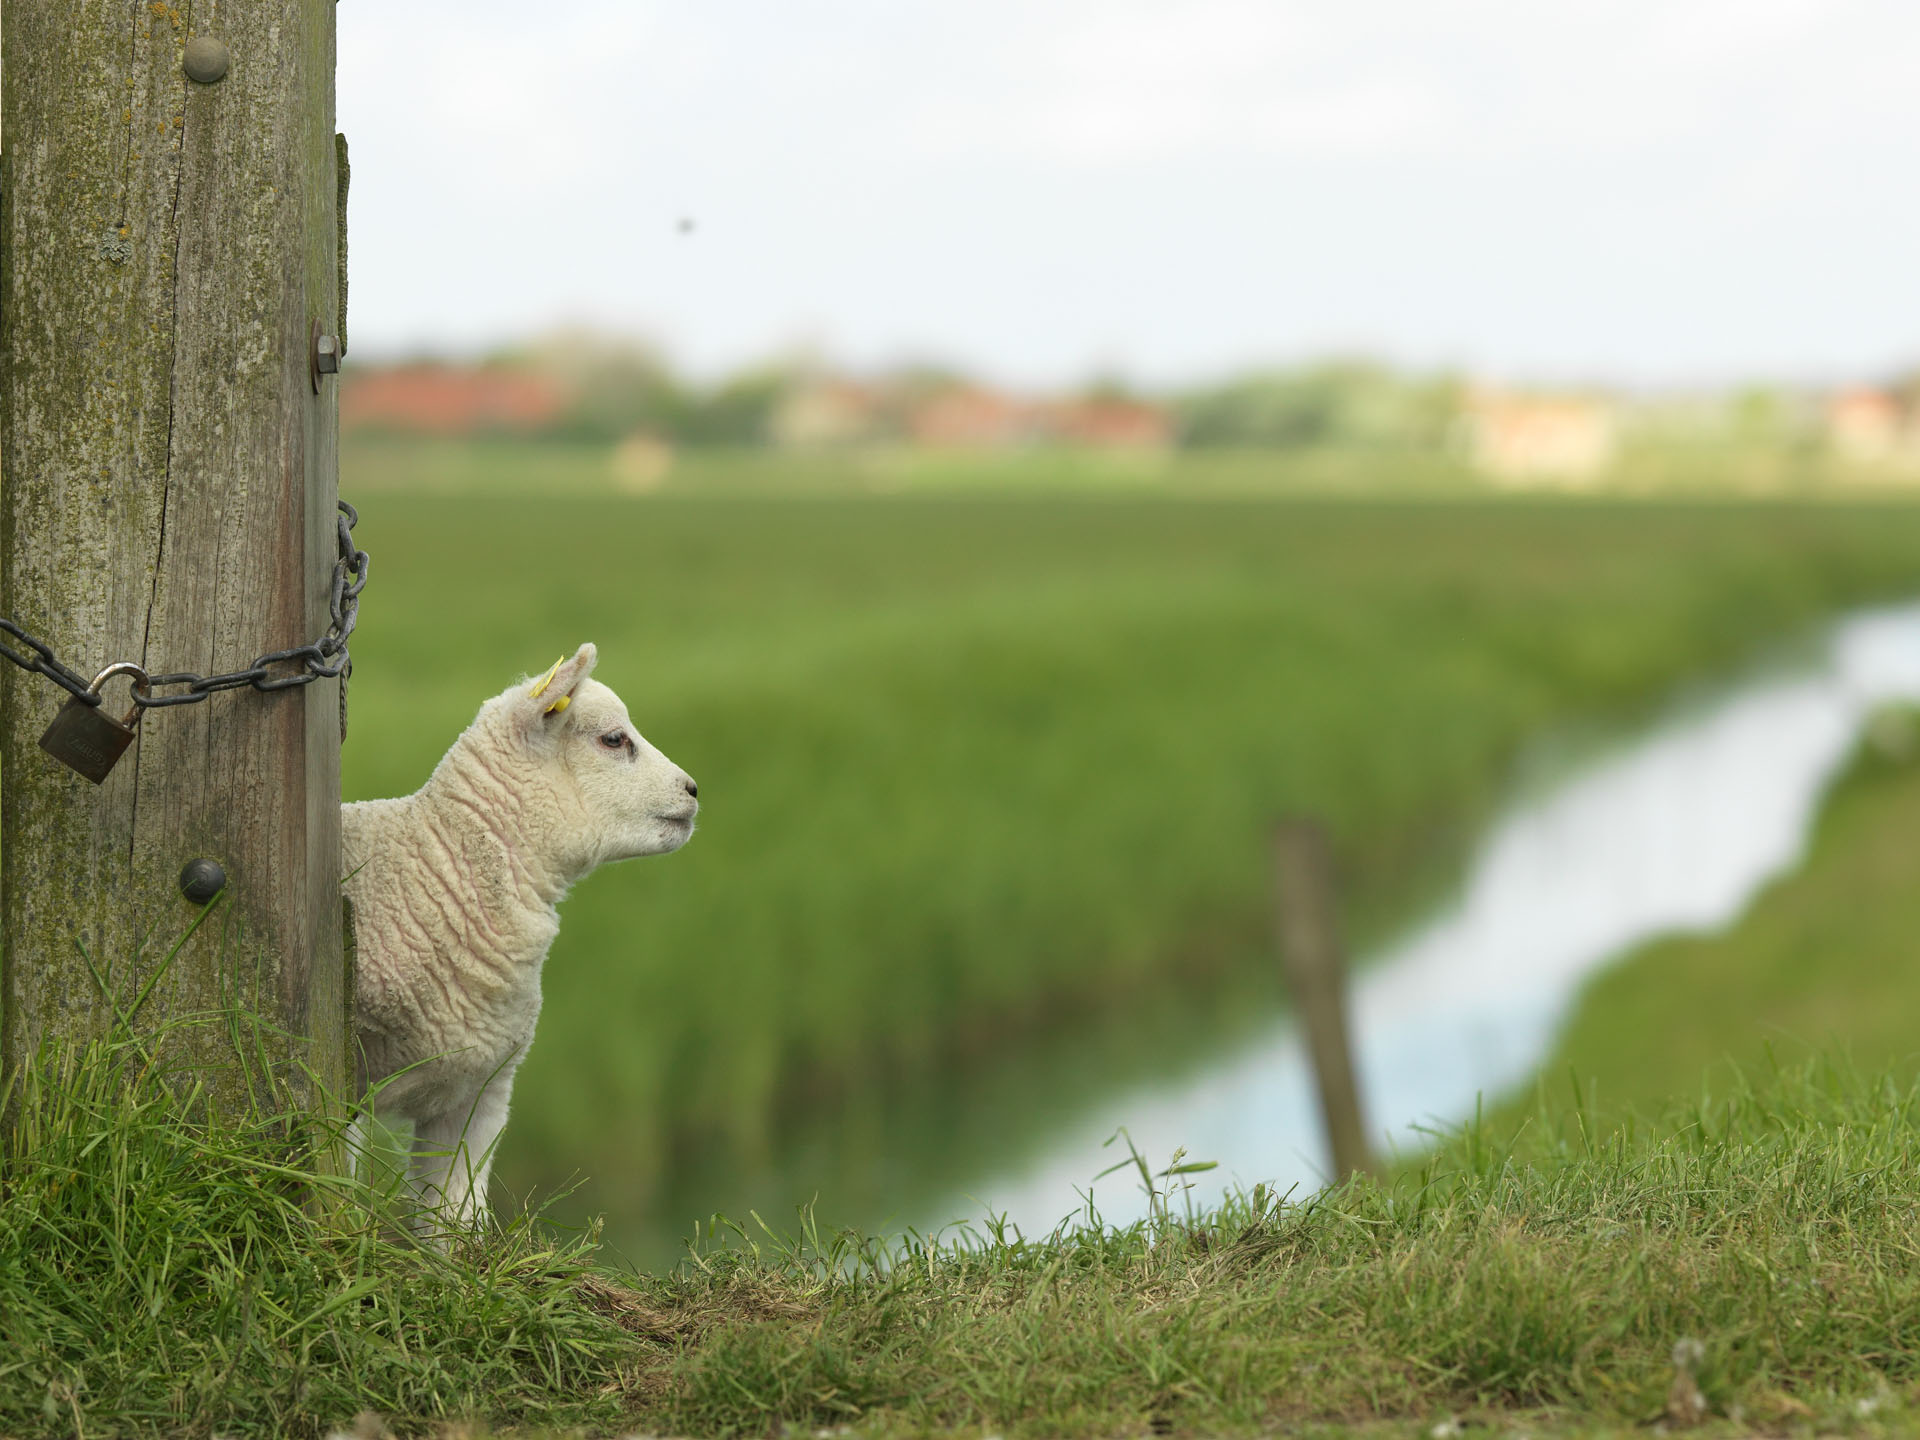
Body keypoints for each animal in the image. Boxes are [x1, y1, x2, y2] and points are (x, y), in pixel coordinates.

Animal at [341, 643, 697, 1232]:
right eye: (613, 739)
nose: (692, 790)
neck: (442, 867)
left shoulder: (479, 1092)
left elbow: (456, 1219)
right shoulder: (344, 1075)